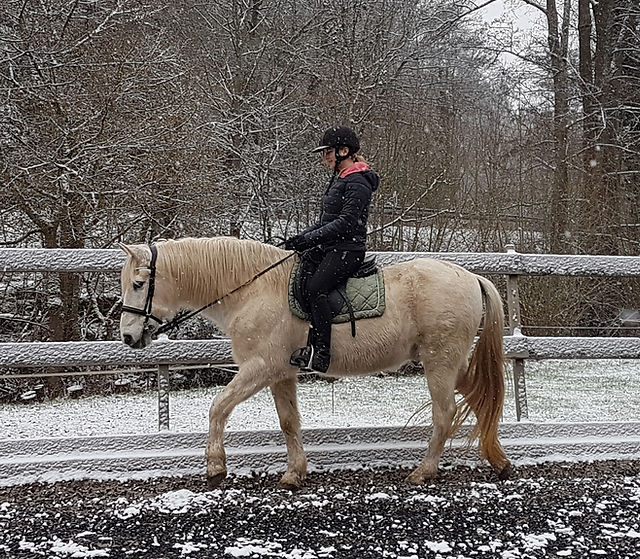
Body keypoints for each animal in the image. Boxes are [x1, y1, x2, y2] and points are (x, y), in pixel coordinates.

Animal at [119, 236, 511, 488]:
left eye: (138, 283)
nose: (127, 337)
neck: (253, 290)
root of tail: (471, 276)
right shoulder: (280, 373)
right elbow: (288, 422)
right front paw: (295, 473)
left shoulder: (260, 367)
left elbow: (218, 406)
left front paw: (215, 467)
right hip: (451, 364)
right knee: (480, 397)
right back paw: (499, 461)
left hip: (439, 363)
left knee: (445, 414)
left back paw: (424, 471)